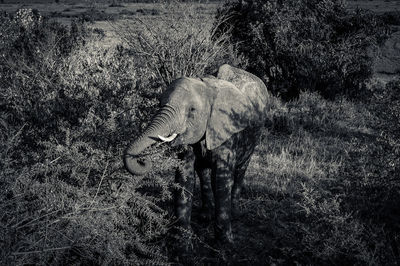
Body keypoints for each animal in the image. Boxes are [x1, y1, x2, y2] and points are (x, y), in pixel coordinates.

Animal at [123, 64, 270, 251]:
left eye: (192, 110)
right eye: (159, 104)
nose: (143, 160)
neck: (207, 86)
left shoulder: (226, 131)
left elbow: (221, 178)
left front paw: (224, 245)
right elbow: (184, 176)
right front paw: (181, 245)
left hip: (254, 135)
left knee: (240, 169)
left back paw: (235, 212)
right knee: (203, 172)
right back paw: (205, 216)